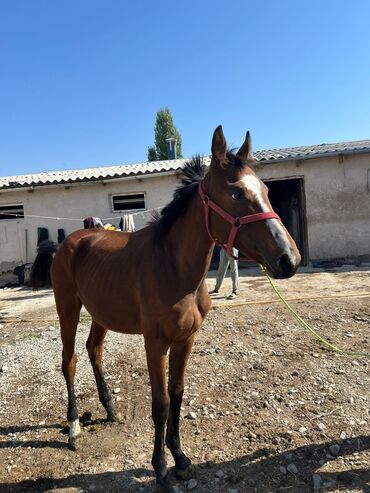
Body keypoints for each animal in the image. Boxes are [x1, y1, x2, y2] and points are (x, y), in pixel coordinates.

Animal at [31, 126, 300, 488]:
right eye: (236, 194)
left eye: (267, 190)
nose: (288, 259)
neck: (173, 266)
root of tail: (70, 241)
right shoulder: (155, 342)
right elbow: (160, 403)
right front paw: (160, 468)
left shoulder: (185, 340)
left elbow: (178, 394)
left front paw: (181, 458)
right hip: (68, 309)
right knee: (69, 361)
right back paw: (73, 428)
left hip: (100, 313)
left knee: (94, 350)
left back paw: (111, 409)